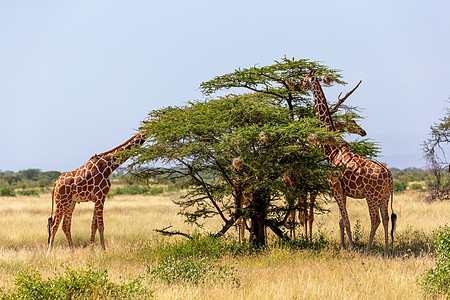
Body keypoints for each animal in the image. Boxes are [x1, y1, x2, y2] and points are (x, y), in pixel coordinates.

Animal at [298, 72, 398, 255]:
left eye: (305, 79)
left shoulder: (334, 188)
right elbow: (340, 220)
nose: (297, 85)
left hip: (372, 196)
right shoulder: (342, 191)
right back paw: (387, 251)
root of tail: (388, 175)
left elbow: (345, 219)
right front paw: (343, 247)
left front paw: (350, 247)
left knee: (375, 220)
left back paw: (366, 250)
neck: (332, 149)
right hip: (385, 195)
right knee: (387, 219)